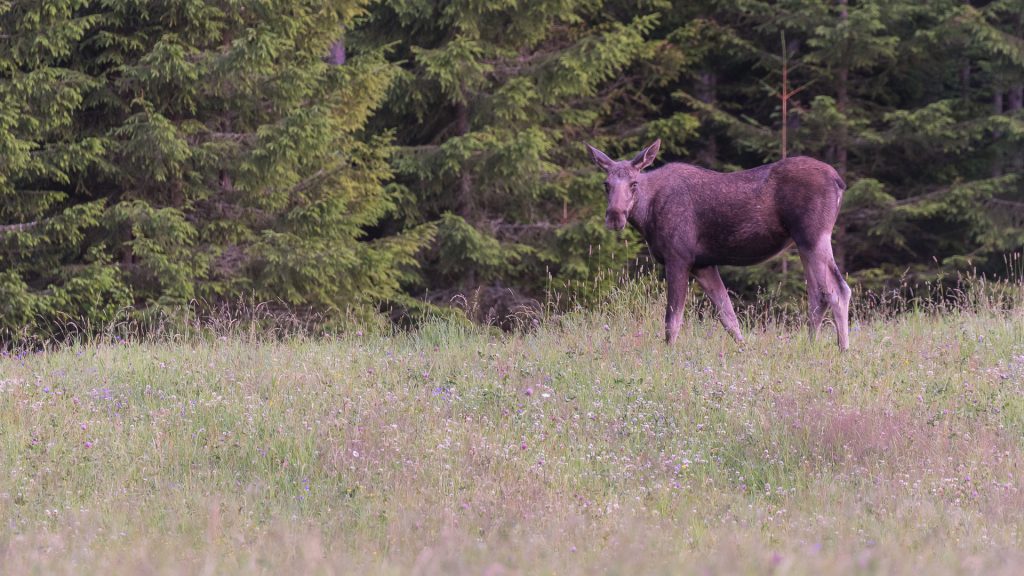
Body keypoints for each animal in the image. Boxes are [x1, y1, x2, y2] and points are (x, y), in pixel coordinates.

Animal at [585, 139, 847, 348]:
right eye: (606, 184)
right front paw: (744, 350)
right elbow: (728, 316)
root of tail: (839, 180)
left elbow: (672, 320)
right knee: (818, 294)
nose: (615, 216)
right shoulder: (703, 264)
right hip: (803, 243)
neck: (646, 216)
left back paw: (842, 349)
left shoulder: (678, 257)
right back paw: (810, 346)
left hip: (814, 235)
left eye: (634, 183)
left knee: (838, 290)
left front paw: (668, 354)